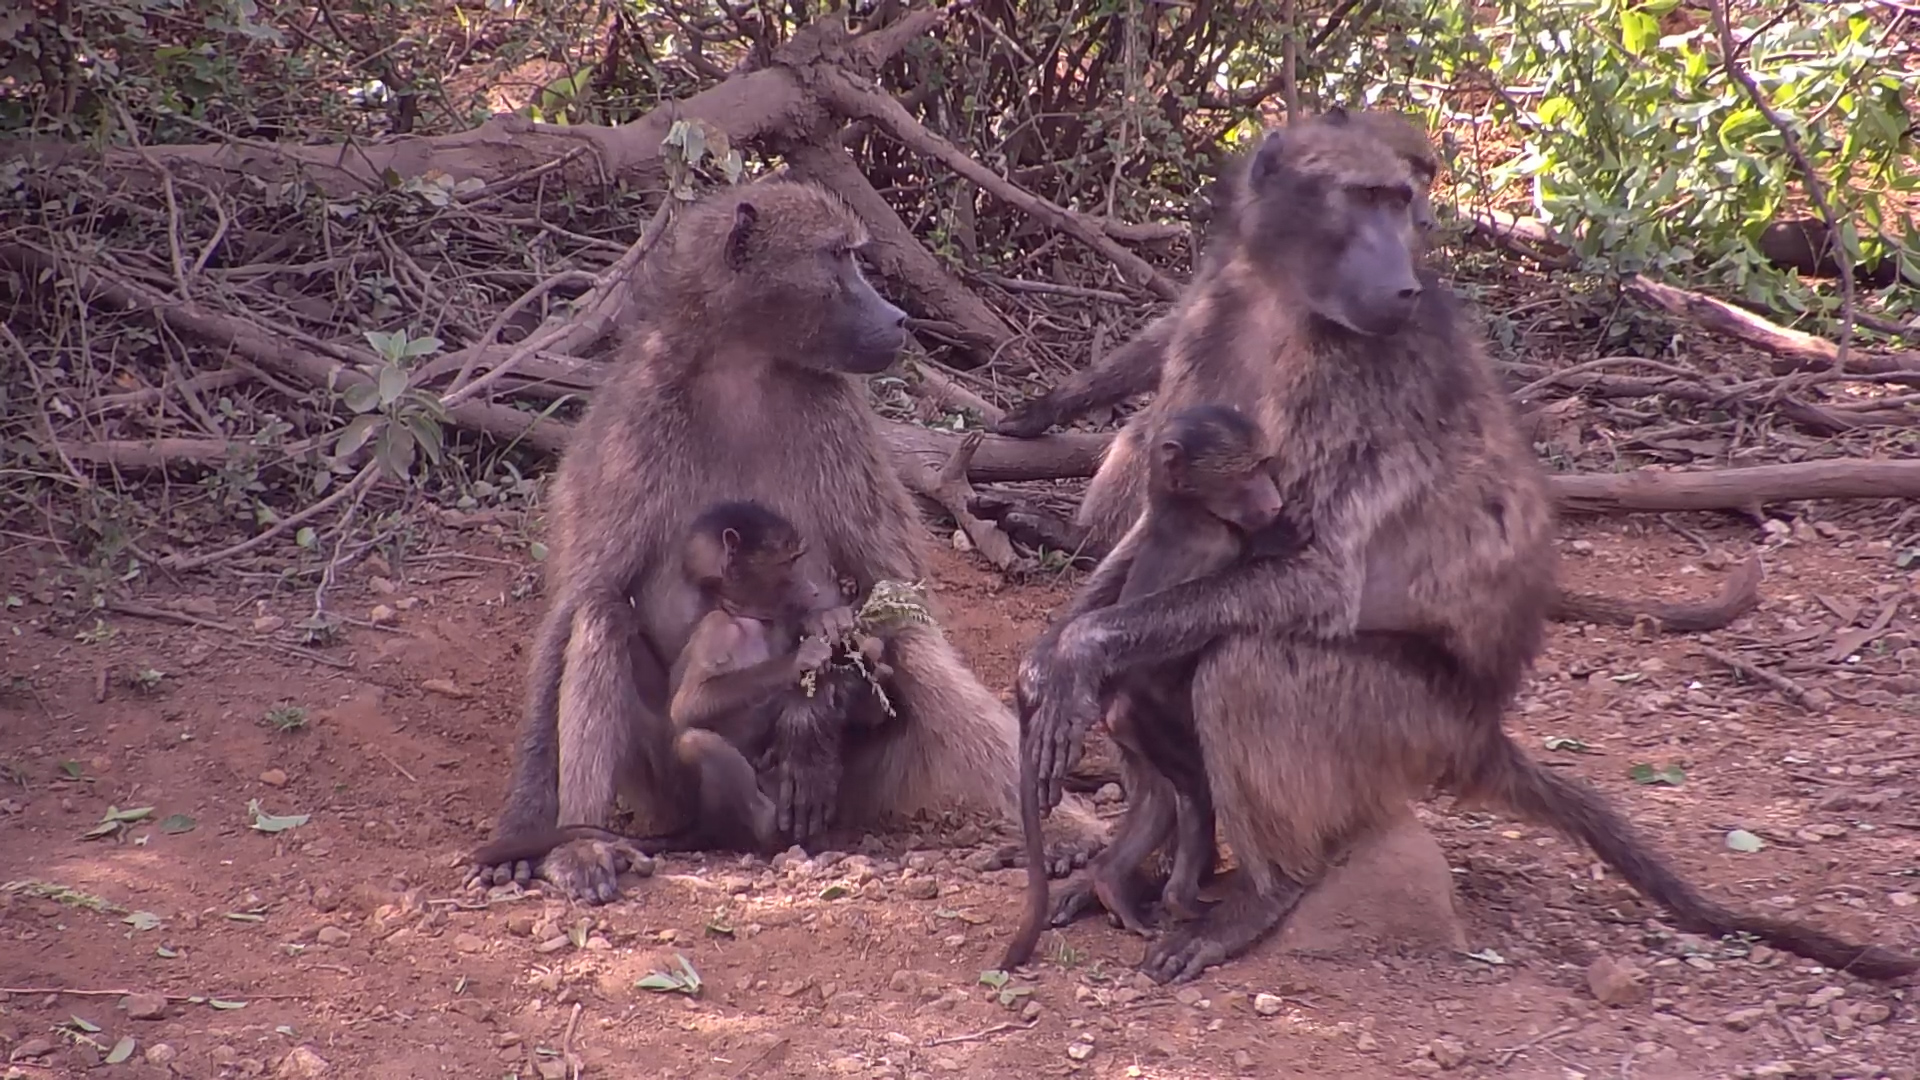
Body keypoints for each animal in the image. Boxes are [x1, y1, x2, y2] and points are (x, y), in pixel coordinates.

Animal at [467, 178, 1104, 905]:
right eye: (838, 256)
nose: (899, 319)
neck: (743, 364)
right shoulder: (632, 422)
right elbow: (582, 599)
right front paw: (523, 831)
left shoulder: (840, 419)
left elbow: (897, 591)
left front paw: (809, 723)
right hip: (666, 783)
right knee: (603, 617)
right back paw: (581, 847)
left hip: (864, 781)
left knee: (907, 642)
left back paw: (1064, 837)